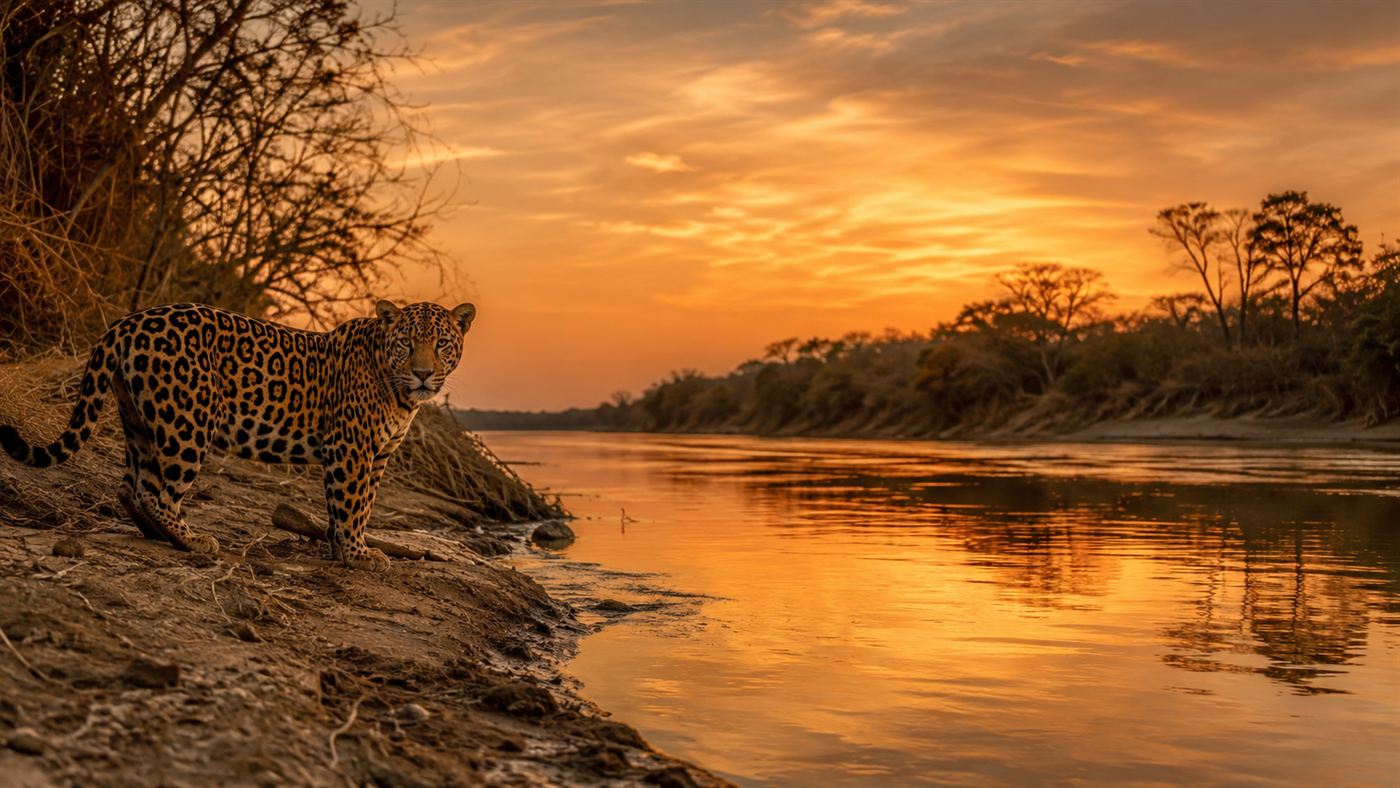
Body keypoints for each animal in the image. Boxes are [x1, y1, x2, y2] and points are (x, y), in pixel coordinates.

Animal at [0, 300, 475, 571]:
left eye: (441, 343)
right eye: (407, 342)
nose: (423, 373)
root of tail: (126, 323)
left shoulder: (376, 456)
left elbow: (356, 507)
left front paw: (345, 553)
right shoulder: (351, 448)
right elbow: (352, 504)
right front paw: (360, 555)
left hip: (139, 419)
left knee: (130, 485)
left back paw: (158, 535)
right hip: (188, 422)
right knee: (157, 490)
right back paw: (192, 540)